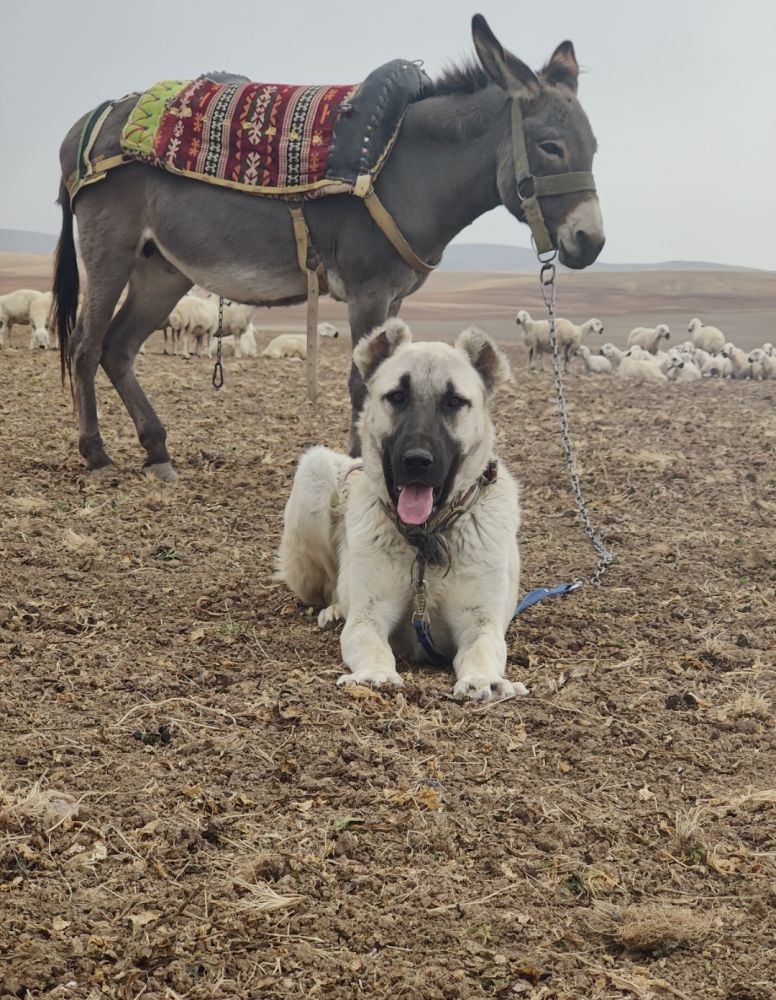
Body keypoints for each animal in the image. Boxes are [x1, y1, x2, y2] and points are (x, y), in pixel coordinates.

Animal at [53, 14, 605, 480]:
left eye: (595, 148)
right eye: (550, 146)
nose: (592, 241)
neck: (408, 167)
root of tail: (89, 121)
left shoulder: (395, 295)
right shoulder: (368, 290)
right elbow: (367, 380)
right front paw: (363, 471)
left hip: (162, 269)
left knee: (119, 347)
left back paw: (157, 451)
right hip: (111, 250)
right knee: (86, 344)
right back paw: (97, 456)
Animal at [277, 319, 526, 701]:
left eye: (454, 401)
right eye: (397, 396)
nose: (417, 461)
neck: (426, 540)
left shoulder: (480, 621)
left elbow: (482, 650)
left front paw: (484, 680)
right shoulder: (369, 614)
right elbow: (373, 645)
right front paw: (374, 675)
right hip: (314, 472)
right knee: (331, 587)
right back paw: (334, 609)